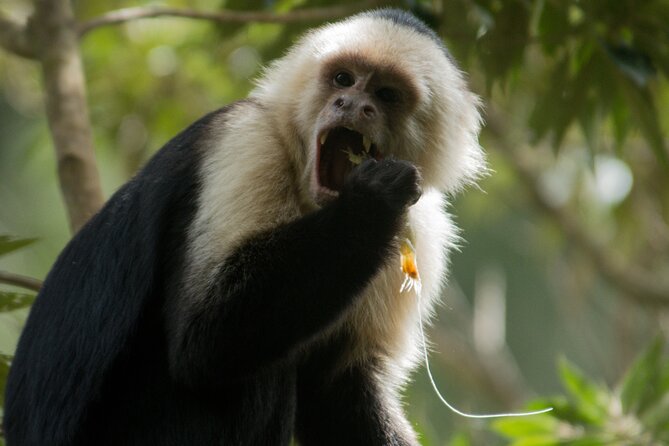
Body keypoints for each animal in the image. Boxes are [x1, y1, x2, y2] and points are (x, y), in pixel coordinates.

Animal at [2, 7, 482, 446]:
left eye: (386, 94)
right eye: (343, 79)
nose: (352, 105)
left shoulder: (422, 230)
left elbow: (339, 388)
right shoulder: (248, 141)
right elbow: (201, 341)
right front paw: (370, 205)